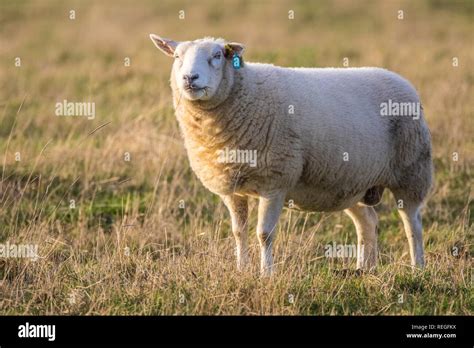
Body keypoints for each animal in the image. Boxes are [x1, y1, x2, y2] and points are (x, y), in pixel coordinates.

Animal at [149, 34, 434, 274]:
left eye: (218, 55)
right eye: (177, 57)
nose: (190, 78)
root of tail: (400, 79)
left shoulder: (275, 181)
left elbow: (264, 234)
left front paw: (266, 274)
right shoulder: (232, 189)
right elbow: (238, 232)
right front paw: (242, 270)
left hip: (412, 170)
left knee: (413, 224)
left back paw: (417, 268)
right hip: (352, 183)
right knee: (368, 222)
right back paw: (364, 269)